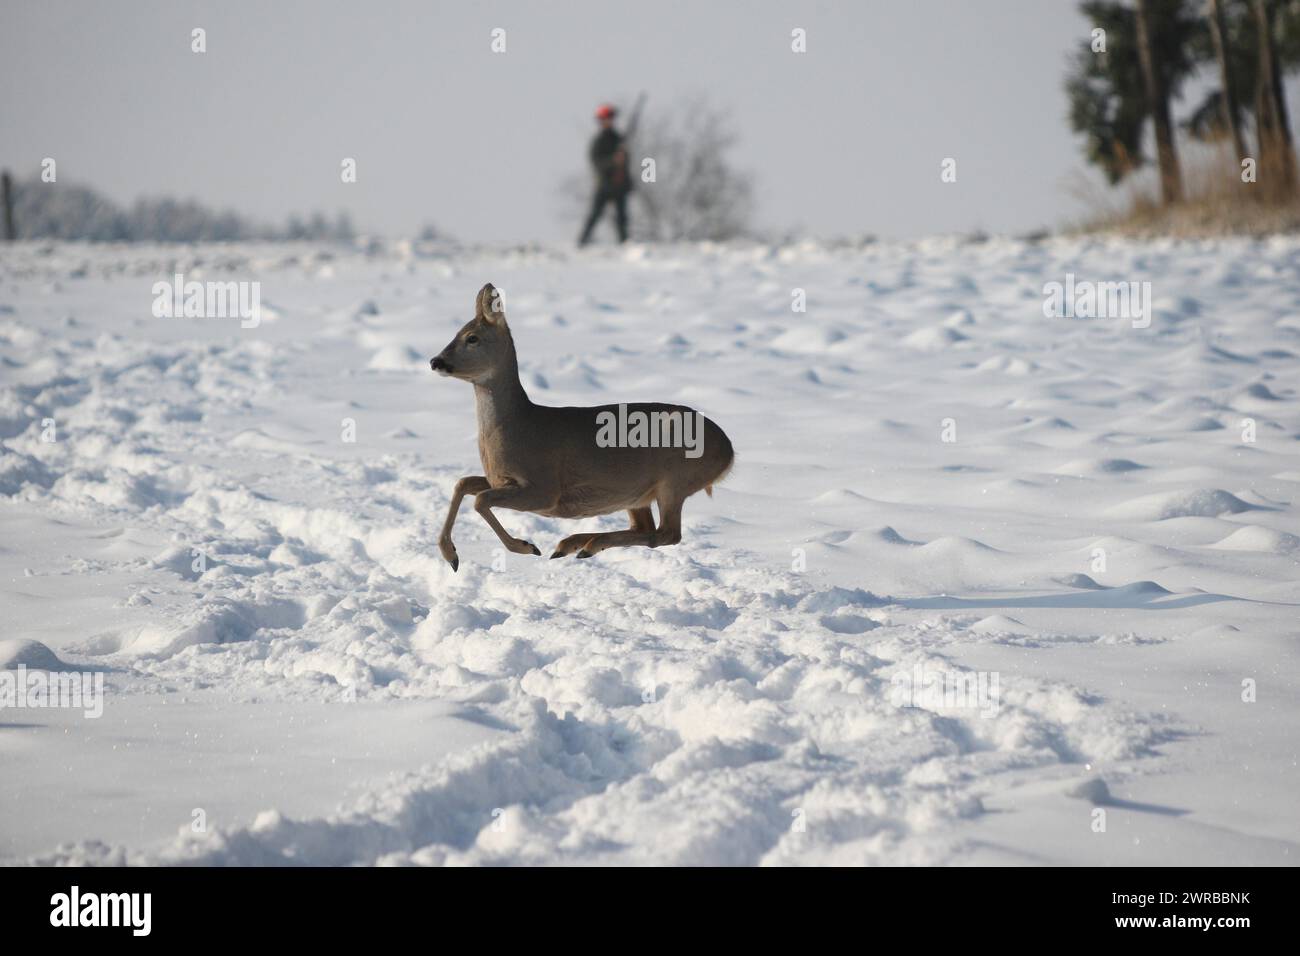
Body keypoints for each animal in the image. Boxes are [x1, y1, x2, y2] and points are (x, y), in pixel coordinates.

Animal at [426, 282, 733, 567]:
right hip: (637, 493)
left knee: (667, 533)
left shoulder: (544, 487)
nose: (435, 361)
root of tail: (729, 452)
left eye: (472, 337)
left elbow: (480, 499)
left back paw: (581, 545)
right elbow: (463, 483)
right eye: (457, 332)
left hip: (676, 476)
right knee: (646, 528)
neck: (517, 424)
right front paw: (450, 555)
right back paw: (573, 544)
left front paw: (525, 546)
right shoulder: (499, 479)